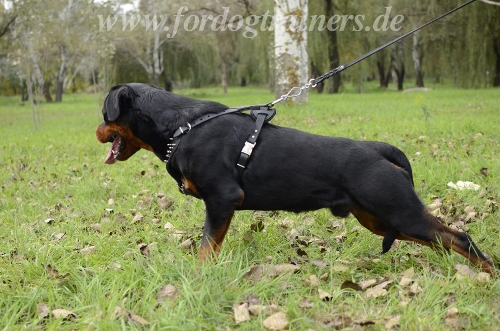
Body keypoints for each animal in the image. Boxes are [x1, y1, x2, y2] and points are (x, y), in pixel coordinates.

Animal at [95, 82, 494, 272]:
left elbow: (207, 247)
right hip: (380, 219)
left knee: (459, 237)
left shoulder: (223, 198)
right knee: (442, 239)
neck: (182, 126)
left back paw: (489, 275)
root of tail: (378, 149)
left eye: (104, 114)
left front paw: (198, 276)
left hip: (398, 211)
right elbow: (211, 246)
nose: (96, 131)